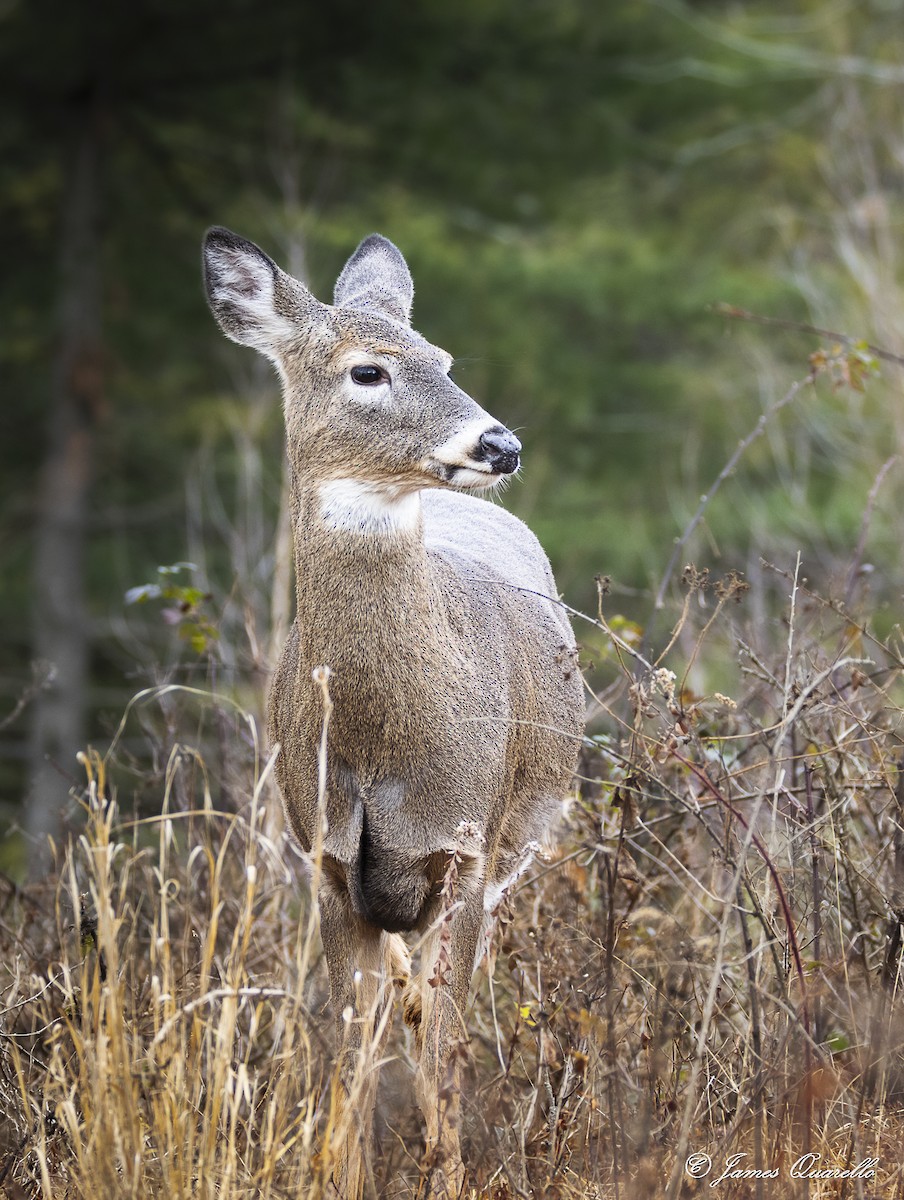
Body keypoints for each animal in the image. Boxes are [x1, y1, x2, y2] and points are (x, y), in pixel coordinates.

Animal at [202, 226, 585, 1198]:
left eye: (444, 358)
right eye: (368, 371)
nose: (500, 444)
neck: (385, 744)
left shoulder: (465, 848)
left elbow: (445, 1048)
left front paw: (447, 1174)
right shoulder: (330, 860)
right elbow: (349, 1051)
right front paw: (342, 1172)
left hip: (513, 846)